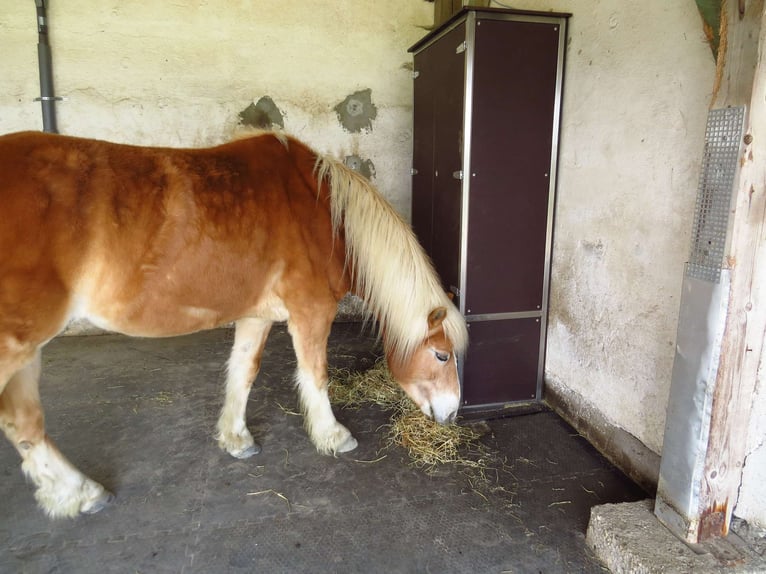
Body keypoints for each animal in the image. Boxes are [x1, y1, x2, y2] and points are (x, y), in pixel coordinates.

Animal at [0, 132, 468, 520]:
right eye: (441, 355)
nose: (452, 414)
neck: (321, 210)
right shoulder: (312, 311)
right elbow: (315, 375)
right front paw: (333, 436)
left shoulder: (256, 315)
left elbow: (243, 370)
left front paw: (236, 437)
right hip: (17, 344)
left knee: (23, 423)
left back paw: (76, 494)